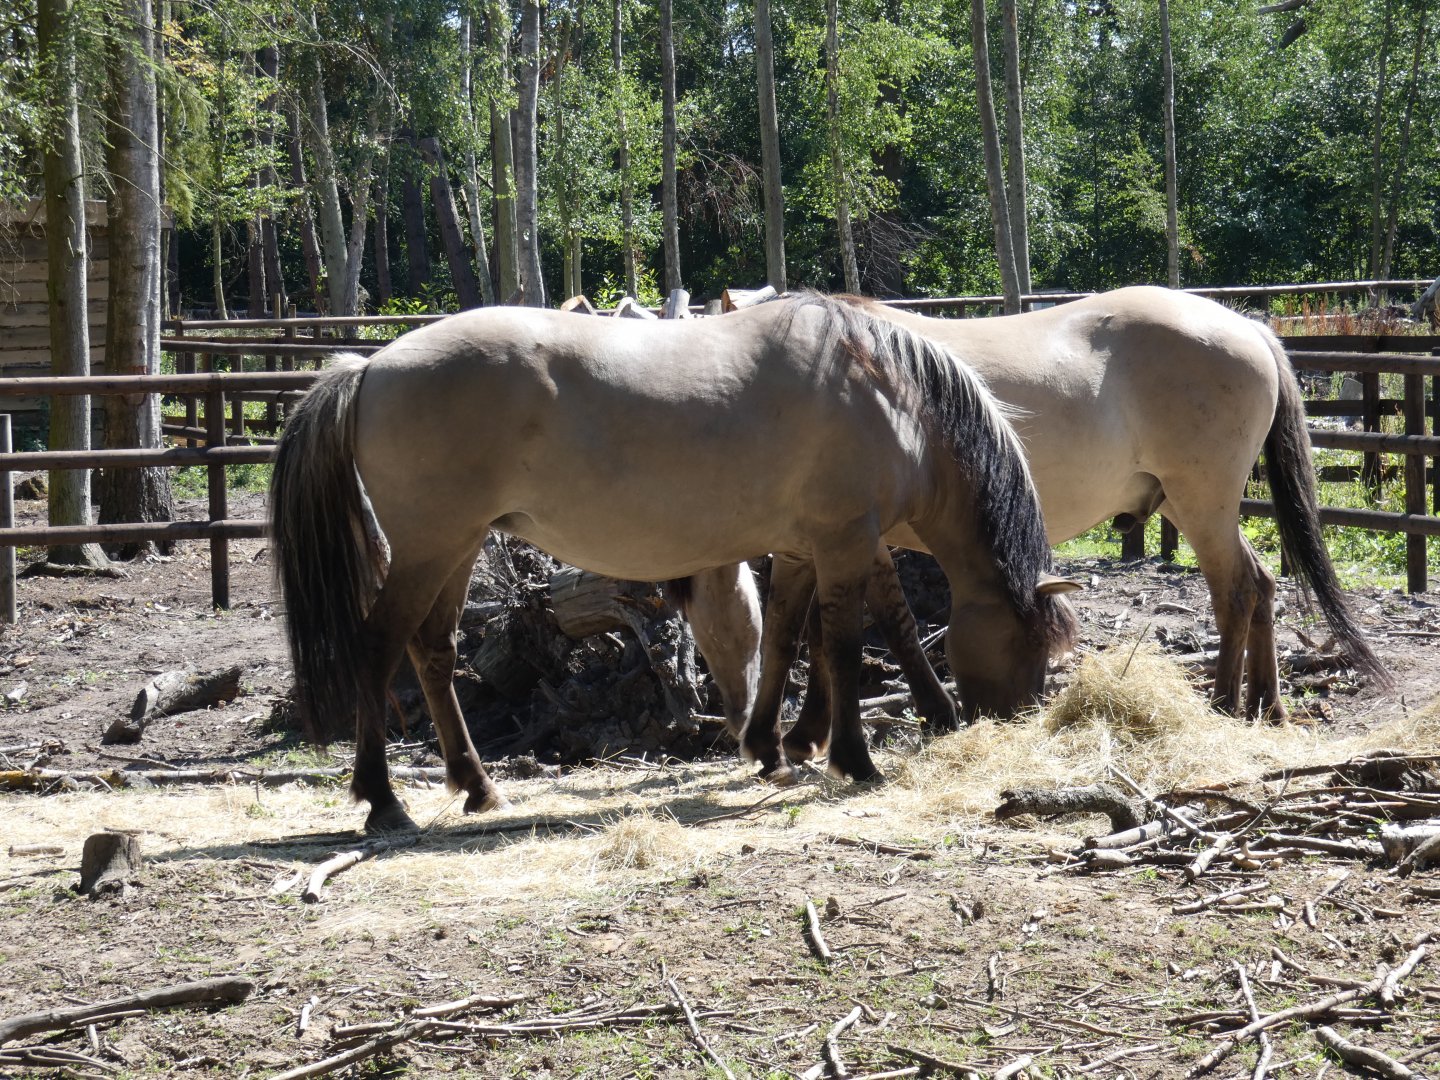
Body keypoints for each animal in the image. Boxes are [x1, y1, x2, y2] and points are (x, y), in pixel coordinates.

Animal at [270, 293, 1076, 833]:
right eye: (1030, 643)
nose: (1014, 716)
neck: (884, 386)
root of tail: (371, 365)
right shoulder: (846, 537)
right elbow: (850, 641)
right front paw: (855, 756)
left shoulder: (808, 546)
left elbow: (796, 637)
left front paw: (776, 743)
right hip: (430, 548)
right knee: (378, 649)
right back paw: (382, 800)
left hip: (457, 548)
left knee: (432, 652)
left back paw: (477, 786)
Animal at [770, 287, 1388, 767]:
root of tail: (1248, 327)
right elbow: (822, 627)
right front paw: (807, 734)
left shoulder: (849, 538)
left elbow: (841, 629)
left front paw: (813, 733)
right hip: (1190, 505)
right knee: (1260, 585)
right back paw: (1266, 706)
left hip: (1202, 503)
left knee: (1235, 591)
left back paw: (1221, 705)